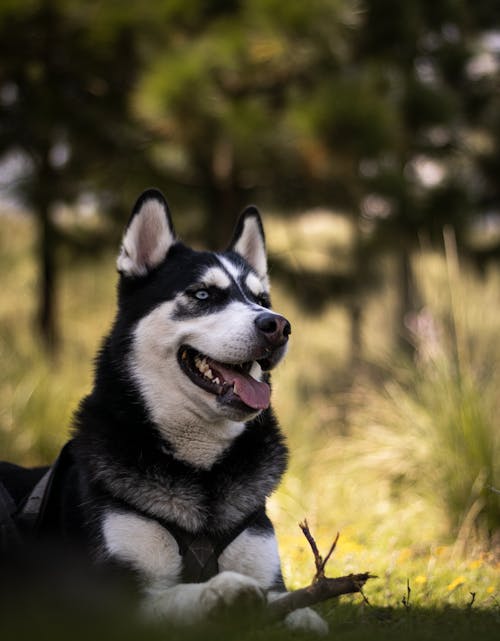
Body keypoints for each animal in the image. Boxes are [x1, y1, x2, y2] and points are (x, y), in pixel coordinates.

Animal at [0, 189, 328, 632]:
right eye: (203, 294)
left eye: (261, 300)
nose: (277, 325)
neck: (201, 472)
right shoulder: (110, 596)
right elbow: (176, 595)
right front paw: (221, 591)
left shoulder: (265, 566)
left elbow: (290, 603)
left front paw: (301, 614)